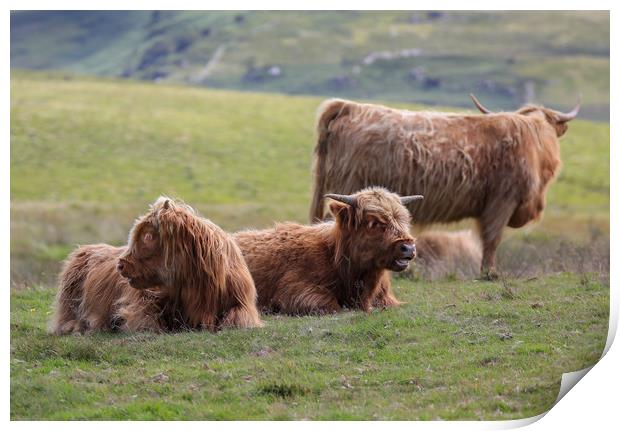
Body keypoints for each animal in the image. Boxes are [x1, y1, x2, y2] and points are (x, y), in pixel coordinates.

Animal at [50, 197, 262, 336]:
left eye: (148, 236)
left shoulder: (243, 305)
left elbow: (236, 320)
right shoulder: (140, 305)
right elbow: (148, 323)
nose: (121, 264)